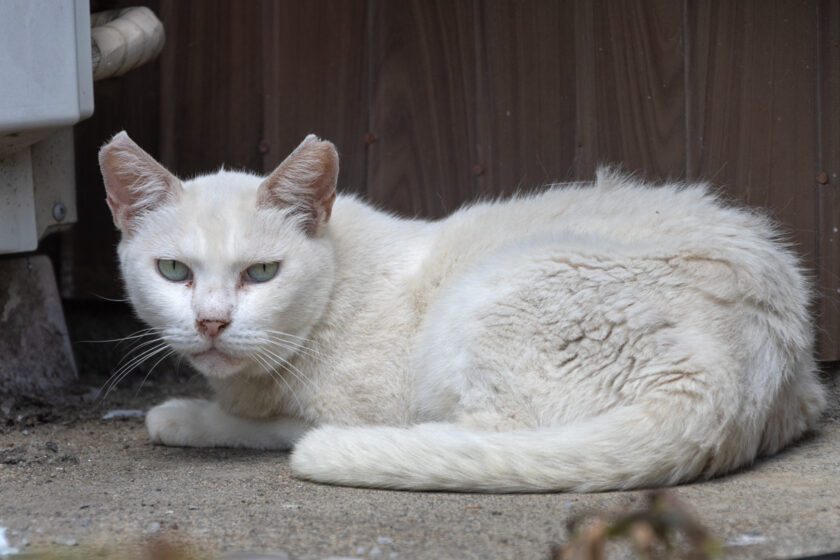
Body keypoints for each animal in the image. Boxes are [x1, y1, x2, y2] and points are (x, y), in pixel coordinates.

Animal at [100, 130, 828, 490]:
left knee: (477, 437)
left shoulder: (358, 403)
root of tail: (732, 379)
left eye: (260, 274)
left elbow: (274, 424)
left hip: (484, 306)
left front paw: (188, 417)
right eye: (174, 271)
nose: (212, 322)